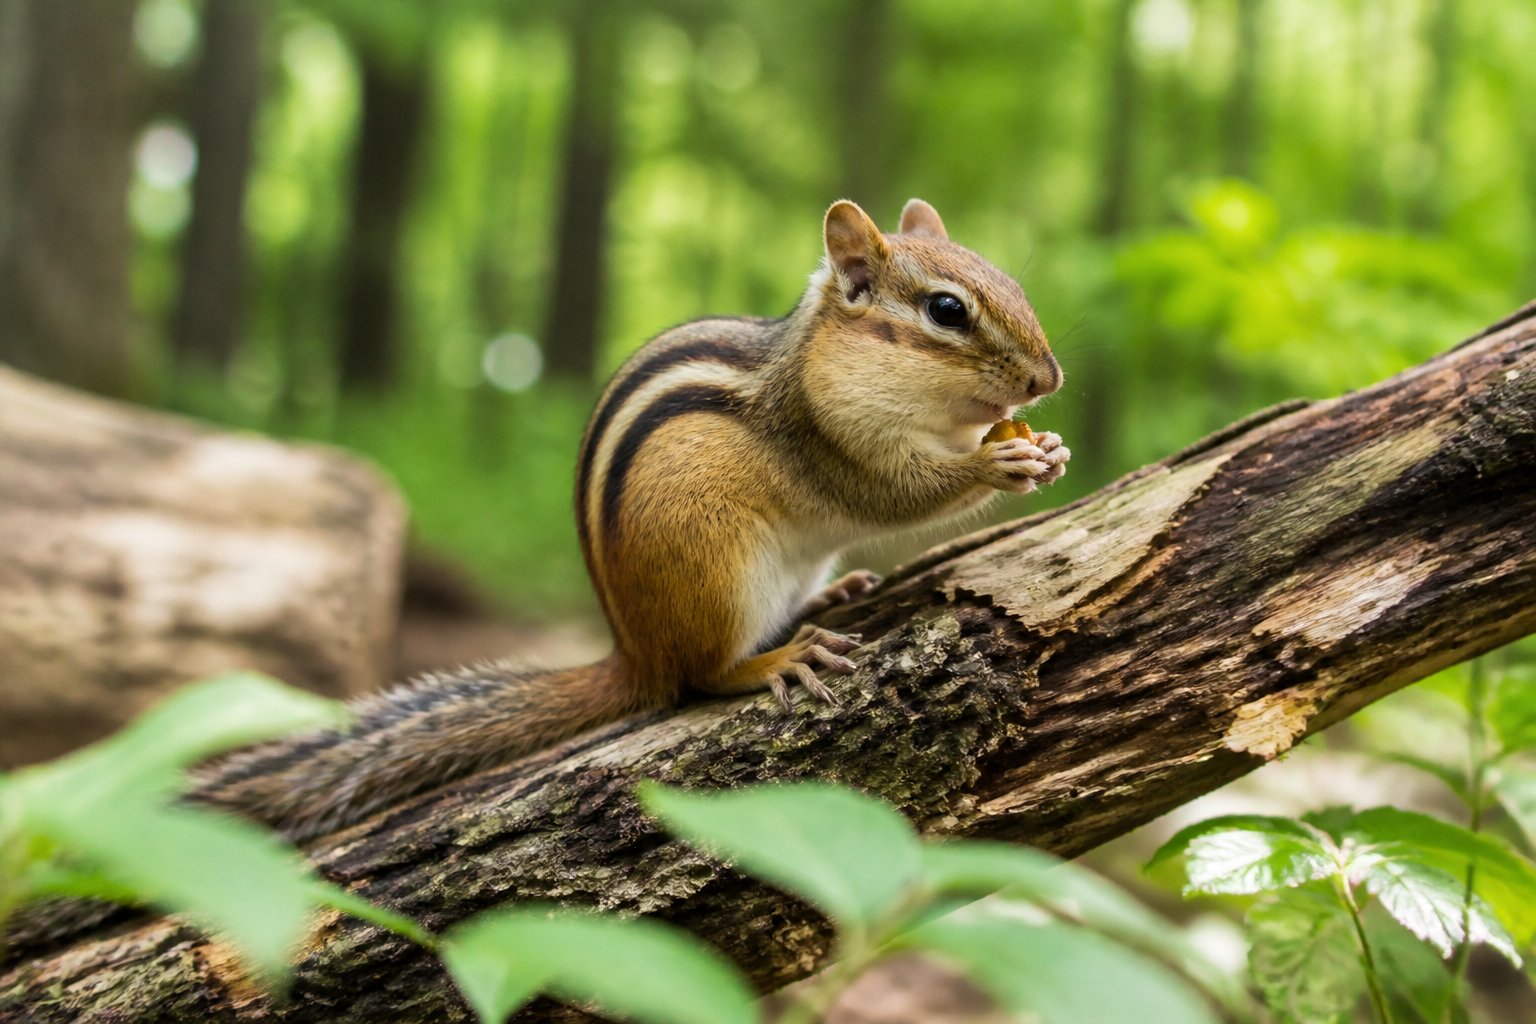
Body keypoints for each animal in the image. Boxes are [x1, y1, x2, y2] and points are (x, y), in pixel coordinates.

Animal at [194, 198, 1069, 839]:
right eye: (947, 311)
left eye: (1015, 287)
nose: (1048, 379)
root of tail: (633, 651)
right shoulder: (832, 442)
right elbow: (896, 494)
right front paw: (996, 465)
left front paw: (1049, 447)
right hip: (717, 572)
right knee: (701, 674)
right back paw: (776, 659)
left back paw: (829, 595)